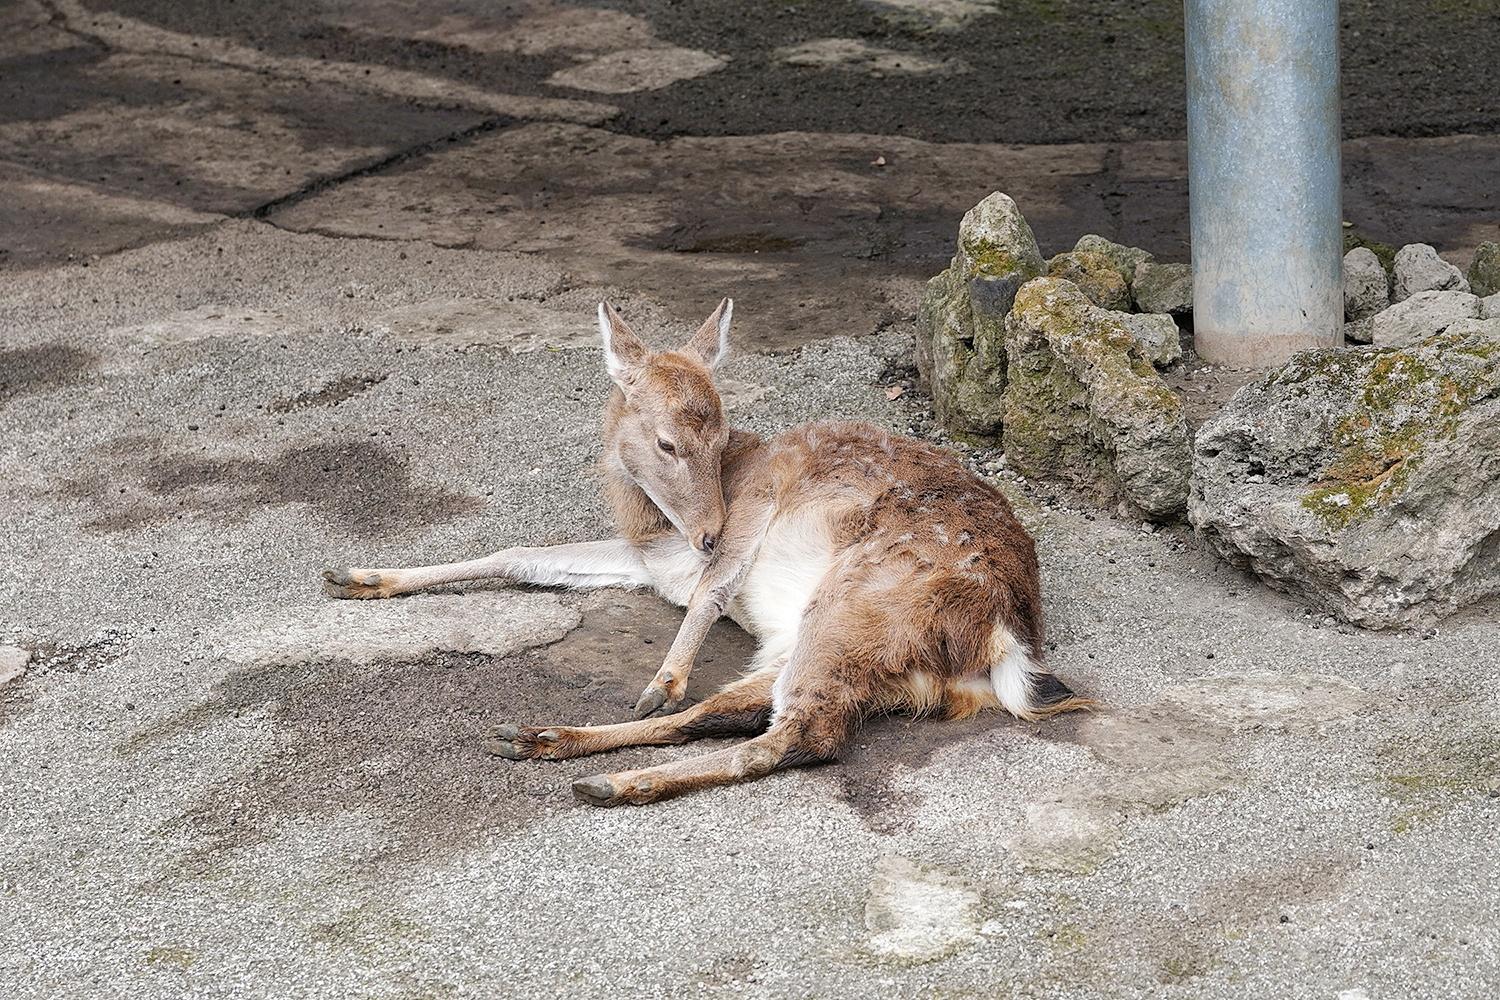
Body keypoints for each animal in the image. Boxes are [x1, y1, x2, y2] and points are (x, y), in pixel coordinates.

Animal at [322, 296, 1086, 803]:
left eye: (718, 437)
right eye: (666, 442)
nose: (707, 529)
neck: (662, 527)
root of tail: (1000, 640)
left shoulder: (760, 498)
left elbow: (715, 586)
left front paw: (663, 677)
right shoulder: (652, 559)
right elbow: (525, 554)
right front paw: (354, 577)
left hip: (857, 609)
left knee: (799, 733)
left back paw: (613, 779)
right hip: (826, 642)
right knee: (732, 714)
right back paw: (543, 740)